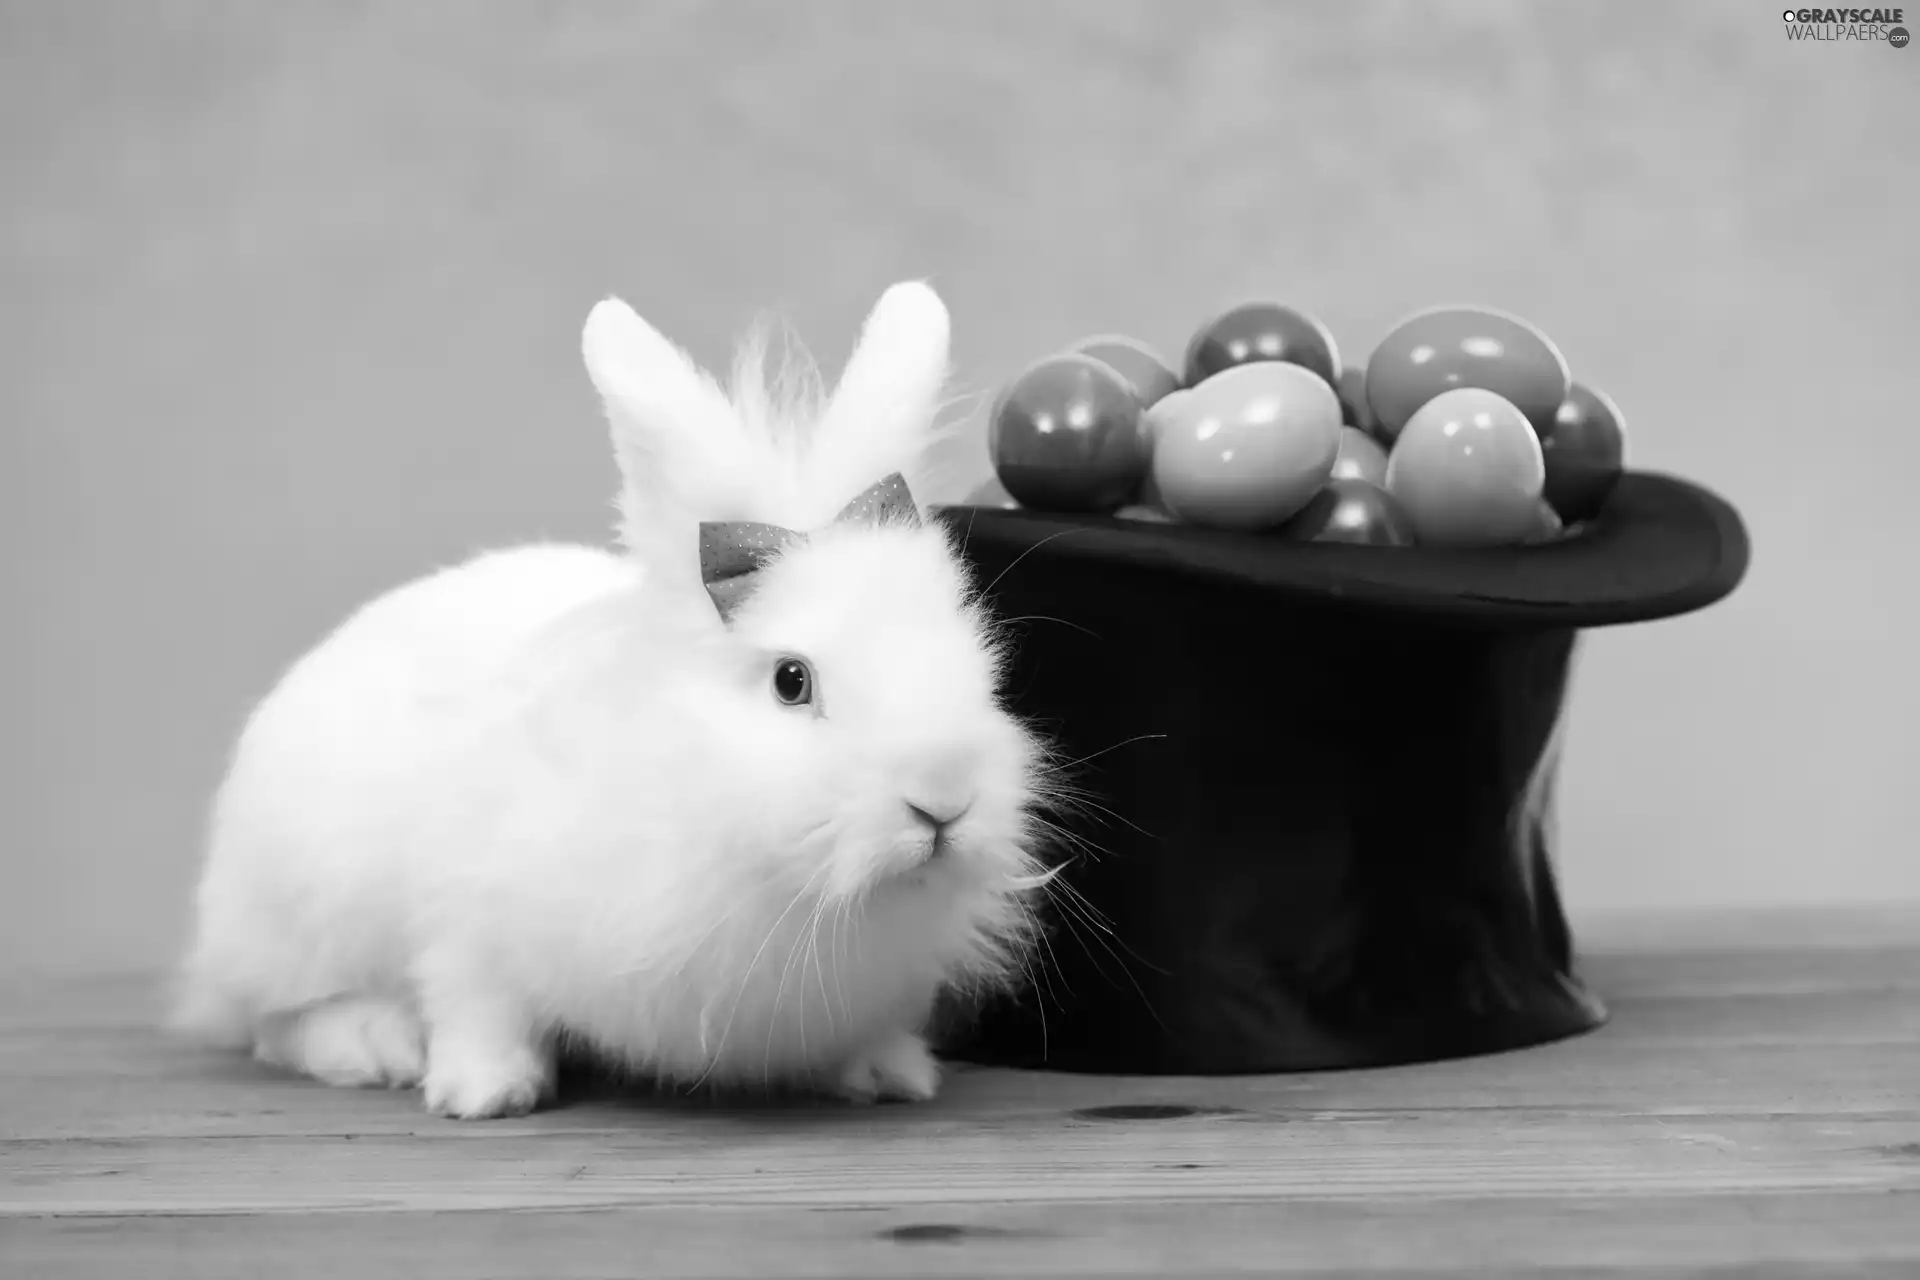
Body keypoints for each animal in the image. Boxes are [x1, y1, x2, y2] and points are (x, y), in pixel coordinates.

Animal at [168, 278, 1052, 1113]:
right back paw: (374, 1047)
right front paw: (488, 1093)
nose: (943, 800)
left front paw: (890, 1072)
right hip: (297, 907)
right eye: (791, 681)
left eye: (973, 657)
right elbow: (478, 1006)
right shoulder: (470, 921)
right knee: (273, 1020)